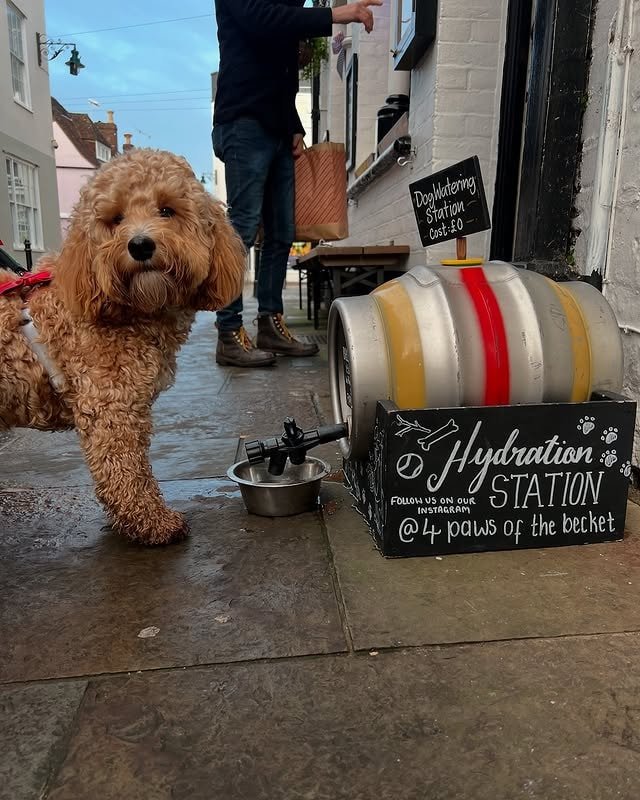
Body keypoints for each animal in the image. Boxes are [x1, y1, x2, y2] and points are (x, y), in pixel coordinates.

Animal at [0, 147, 245, 544]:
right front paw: (153, 522)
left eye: (167, 210)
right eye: (115, 219)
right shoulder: (111, 407)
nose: (140, 245)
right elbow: (127, 471)